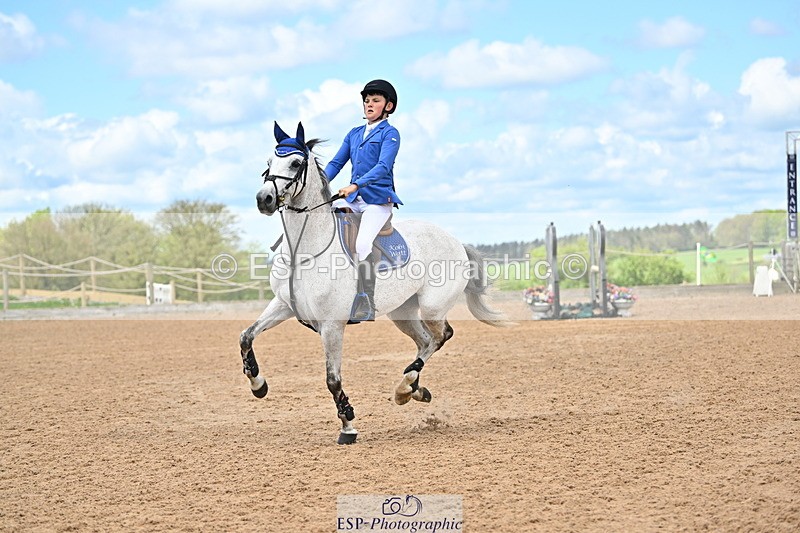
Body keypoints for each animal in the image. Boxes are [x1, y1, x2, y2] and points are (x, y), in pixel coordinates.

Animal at [239, 121, 511, 444]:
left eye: (295, 163)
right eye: (269, 162)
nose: (264, 199)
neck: (303, 251)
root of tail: (456, 241)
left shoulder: (332, 325)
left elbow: (332, 379)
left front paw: (348, 427)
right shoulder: (283, 305)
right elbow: (246, 337)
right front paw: (258, 385)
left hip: (432, 307)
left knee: (442, 335)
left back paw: (406, 385)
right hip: (402, 313)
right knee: (425, 341)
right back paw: (411, 389)